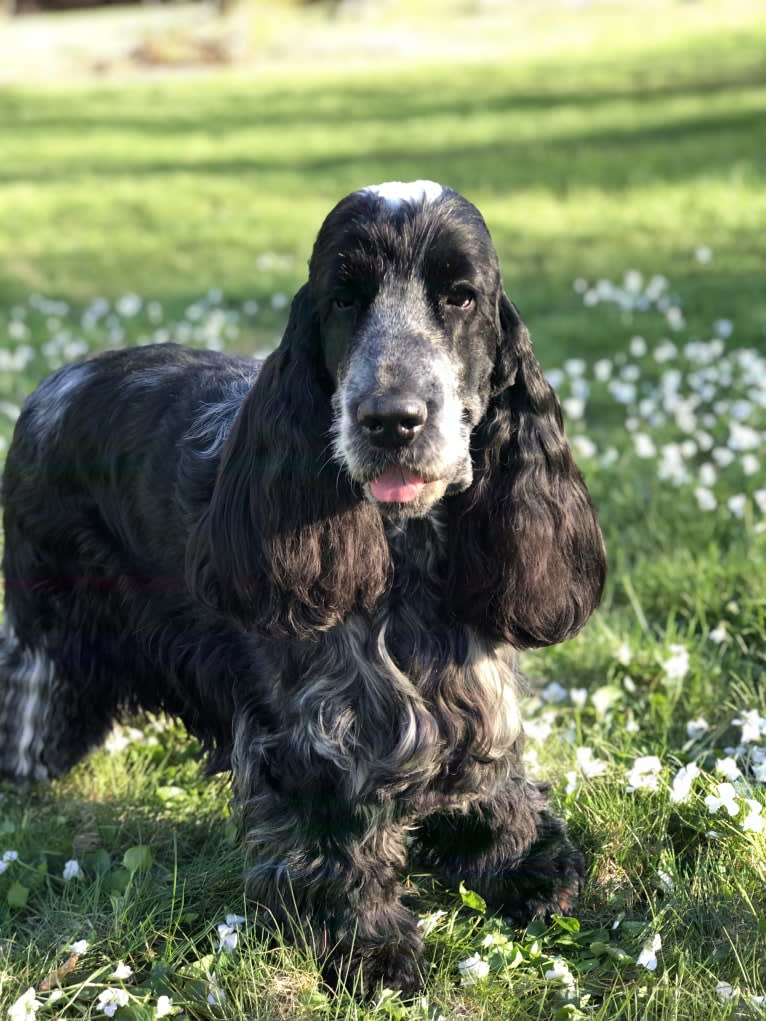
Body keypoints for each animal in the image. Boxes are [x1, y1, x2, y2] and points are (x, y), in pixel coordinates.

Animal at [0, 181, 604, 996]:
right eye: (342, 297)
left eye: (461, 296)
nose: (391, 420)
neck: (406, 553)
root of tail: (49, 386)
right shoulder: (318, 733)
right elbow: (337, 839)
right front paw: (370, 946)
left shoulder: (472, 689)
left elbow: (492, 778)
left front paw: (524, 865)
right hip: (44, 628)